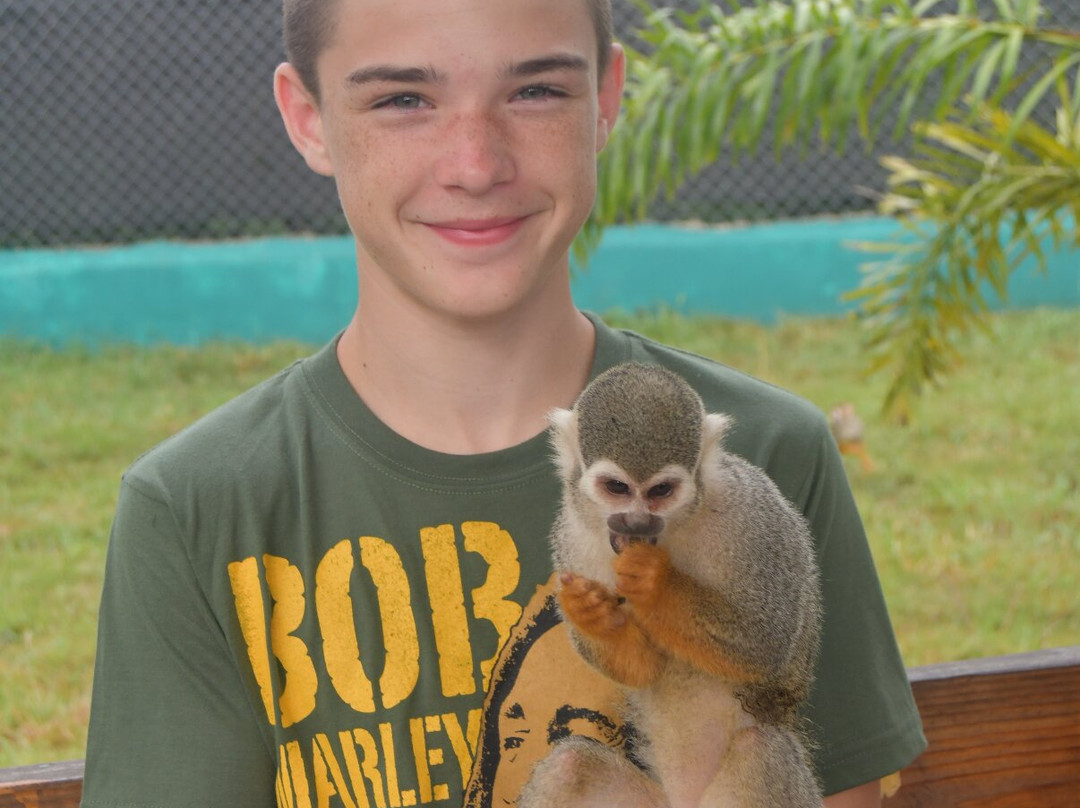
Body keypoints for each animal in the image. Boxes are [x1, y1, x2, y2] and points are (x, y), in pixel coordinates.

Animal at [517, 363, 823, 808]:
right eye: (617, 488)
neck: (674, 530)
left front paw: (655, 582)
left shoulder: (751, 512)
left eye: (661, 491)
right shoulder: (571, 533)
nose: (636, 524)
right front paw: (594, 616)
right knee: (569, 765)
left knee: (762, 750)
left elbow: (766, 643)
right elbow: (644, 667)